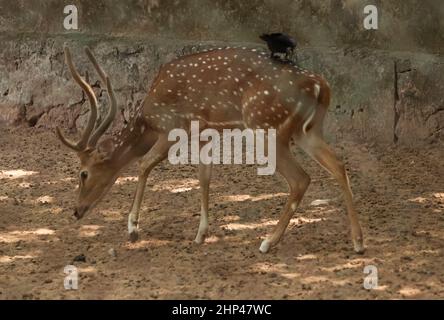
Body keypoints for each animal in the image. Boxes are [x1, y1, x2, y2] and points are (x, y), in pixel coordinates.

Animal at [57, 45, 364, 254]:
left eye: (83, 173)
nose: (76, 211)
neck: (149, 119)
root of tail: (320, 85)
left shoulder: (173, 127)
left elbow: (144, 165)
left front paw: (132, 228)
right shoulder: (206, 133)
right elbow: (204, 177)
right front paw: (201, 234)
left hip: (265, 127)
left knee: (301, 178)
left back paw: (267, 241)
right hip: (307, 130)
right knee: (338, 165)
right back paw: (358, 241)